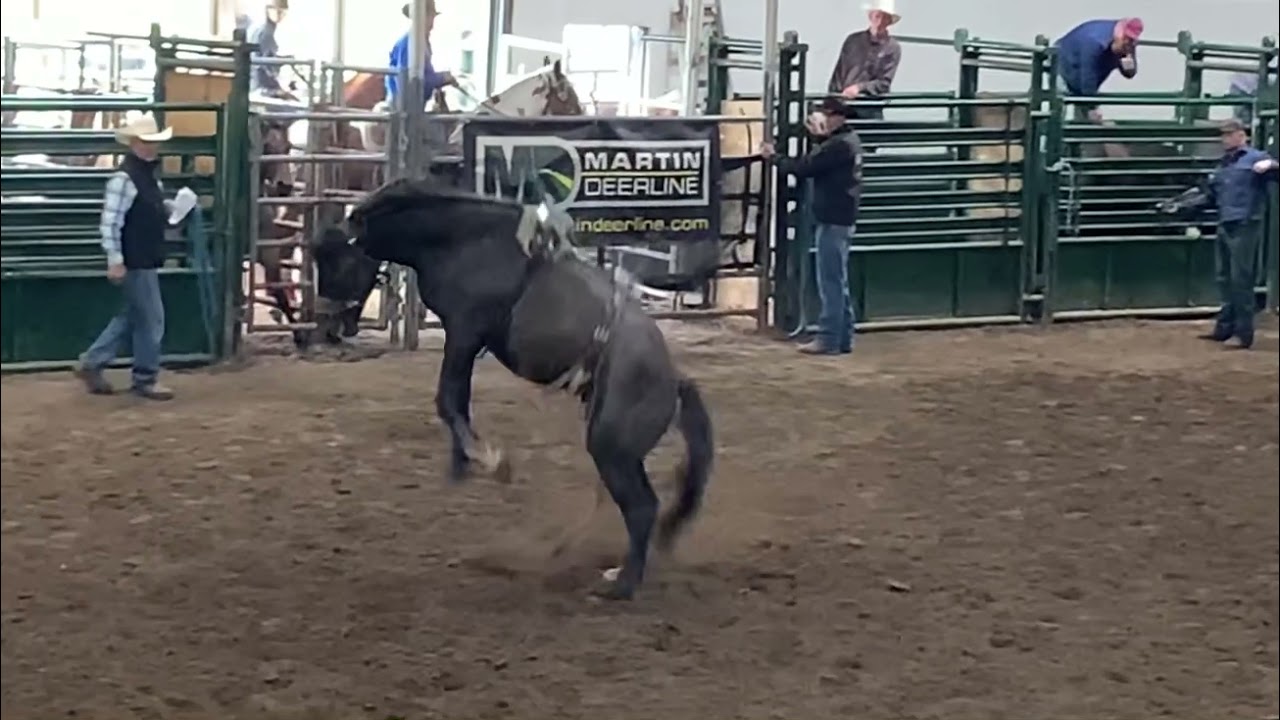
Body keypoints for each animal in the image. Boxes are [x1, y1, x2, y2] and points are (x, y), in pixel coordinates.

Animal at [310, 179, 715, 600]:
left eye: (341, 261)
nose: (326, 327)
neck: (461, 238)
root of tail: (674, 383)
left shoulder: (465, 330)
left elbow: (448, 400)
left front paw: (491, 460)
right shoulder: (465, 337)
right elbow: (457, 401)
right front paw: (461, 465)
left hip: (612, 449)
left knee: (642, 508)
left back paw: (621, 584)